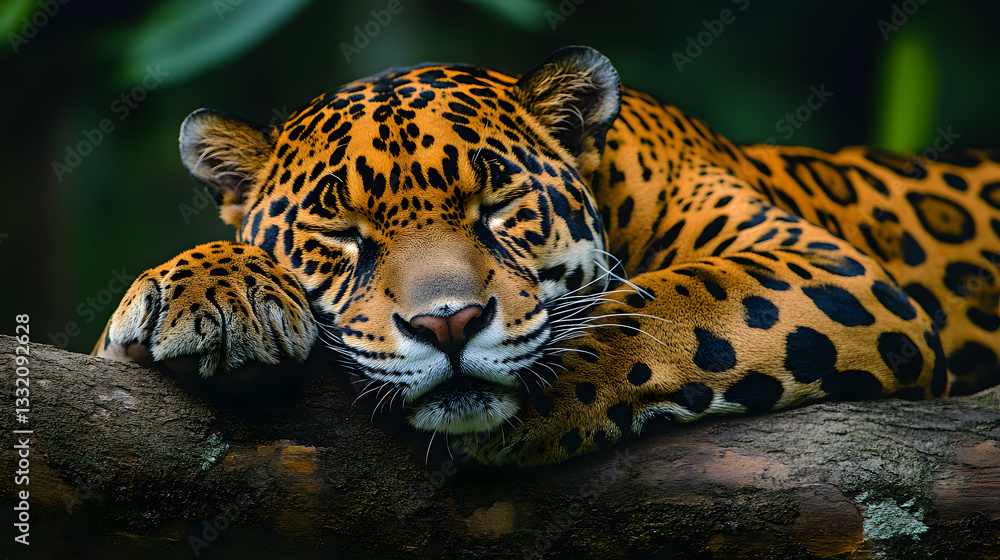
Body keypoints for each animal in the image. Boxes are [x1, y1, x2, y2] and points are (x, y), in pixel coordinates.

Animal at [93, 46, 1000, 466]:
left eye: (499, 211)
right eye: (342, 235)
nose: (448, 324)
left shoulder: (829, 266)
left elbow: (657, 307)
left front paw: (531, 402)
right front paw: (209, 290)